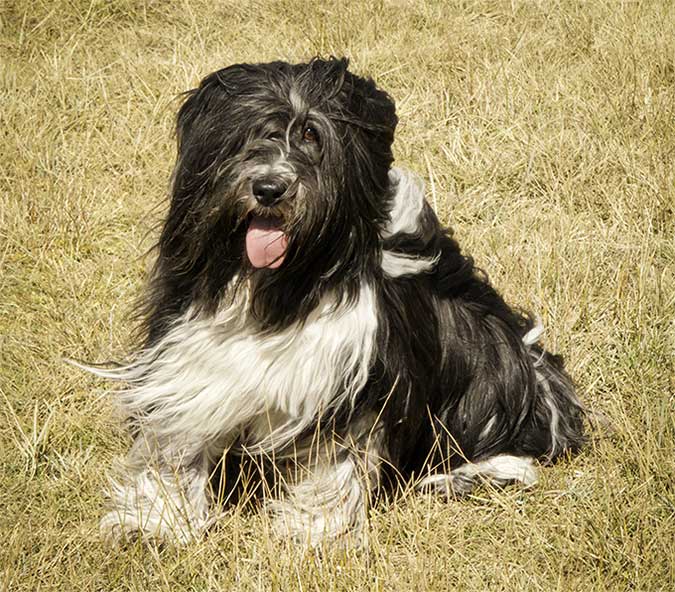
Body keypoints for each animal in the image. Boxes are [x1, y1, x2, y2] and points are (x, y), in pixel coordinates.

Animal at [90, 57, 588, 548]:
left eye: (312, 136)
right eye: (248, 134)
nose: (269, 188)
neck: (282, 285)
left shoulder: (354, 378)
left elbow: (337, 457)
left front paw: (313, 530)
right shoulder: (191, 352)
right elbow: (177, 436)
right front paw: (157, 520)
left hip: (490, 352)